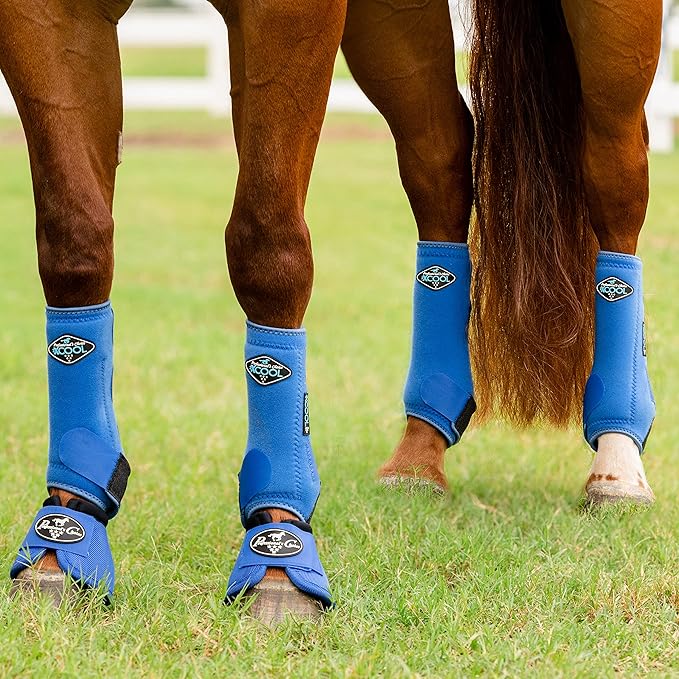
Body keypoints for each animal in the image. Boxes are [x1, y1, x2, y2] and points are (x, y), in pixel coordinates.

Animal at [0, 0, 662, 624]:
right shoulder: (47, 15)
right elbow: (75, 242)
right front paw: (64, 539)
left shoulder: (289, 14)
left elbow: (267, 247)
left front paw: (277, 552)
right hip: (391, 23)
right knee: (439, 157)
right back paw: (420, 451)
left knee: (614, 172)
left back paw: (618, 453)